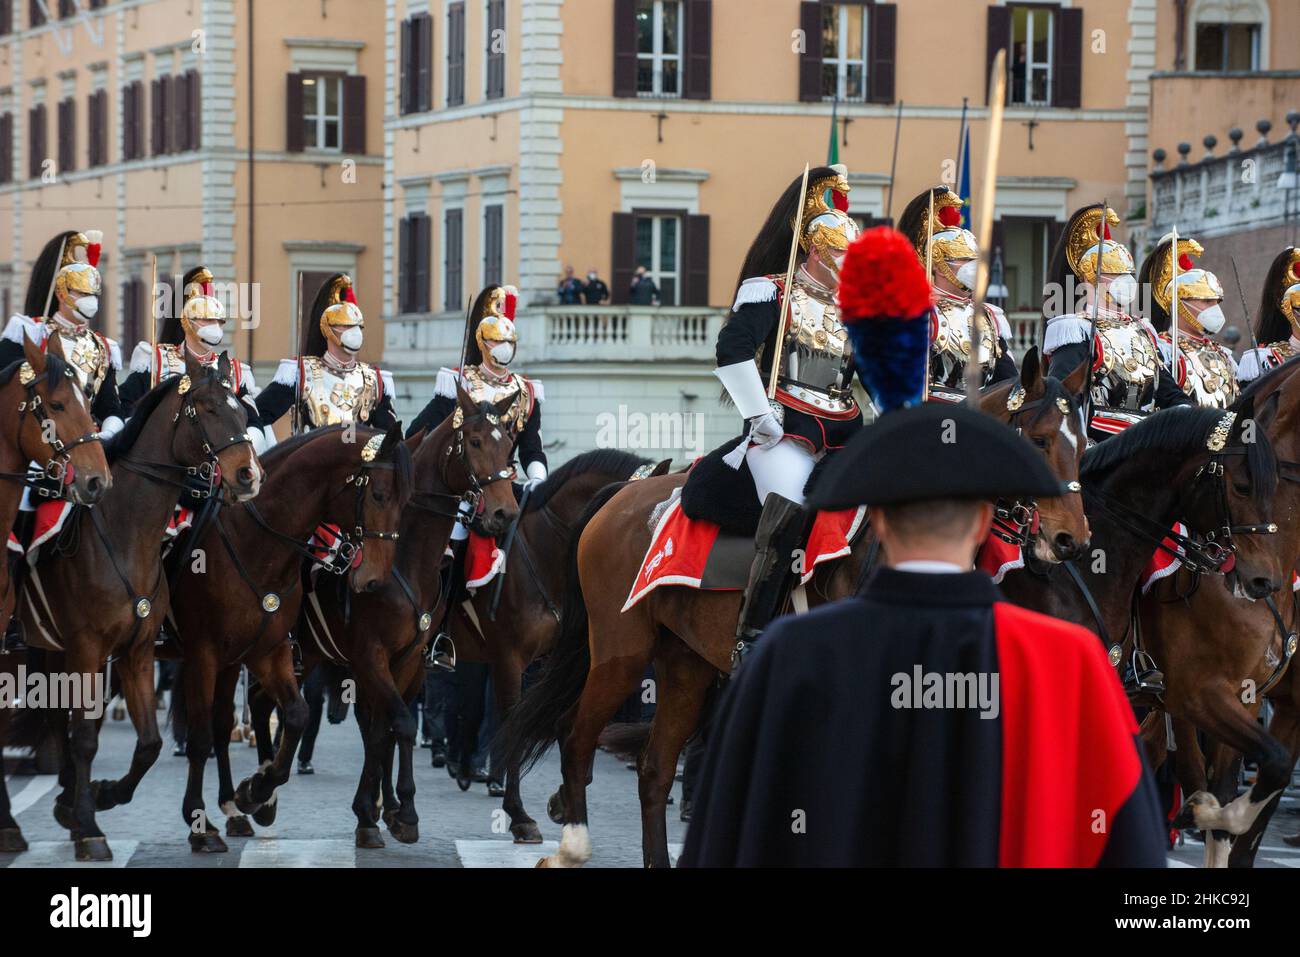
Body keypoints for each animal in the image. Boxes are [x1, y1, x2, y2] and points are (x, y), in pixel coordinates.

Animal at [7, 348, 258, 858]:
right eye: (207, 409)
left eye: (243, 412)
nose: (247, 475)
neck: (124, 534)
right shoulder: (89, 651)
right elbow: (86, 737)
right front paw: (90, 826)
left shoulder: (136, 653)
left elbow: (150, 743)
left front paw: (99, 798)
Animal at [165, 418, 410, 852]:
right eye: (379, 495)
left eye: (406, 502)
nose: (374, 581)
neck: (255, 542)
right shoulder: (202, 654)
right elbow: (199, 737)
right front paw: (200, 823)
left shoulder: (268, 650)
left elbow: (296, 714)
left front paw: (257, 793)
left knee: (224, 720)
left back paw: (234, 808)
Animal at [501, 353, 1092, 868]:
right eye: (1040, 440)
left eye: (1083, 443)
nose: (1071, 541)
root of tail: (625, 494)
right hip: (622, 653)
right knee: (575, 739)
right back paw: (571, 845)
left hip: (684, 665)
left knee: (654, 769)